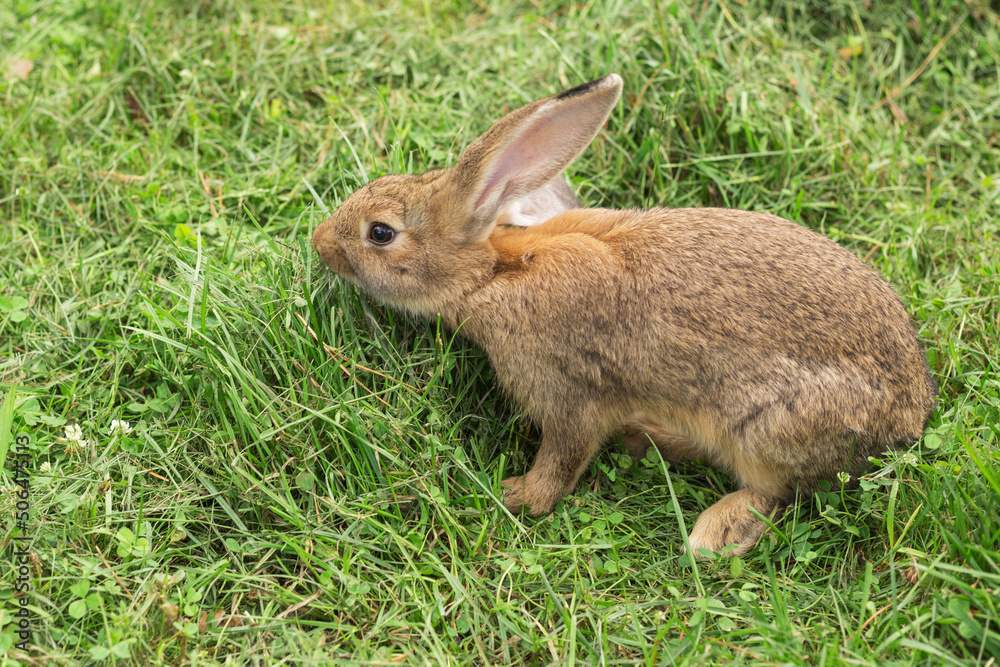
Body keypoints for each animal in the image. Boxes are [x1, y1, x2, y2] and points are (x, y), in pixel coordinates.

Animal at [311, 74, 936, 556]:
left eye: (380, 233)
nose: (320, 243)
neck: (494, 271)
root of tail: (910, 420)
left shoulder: (567, 394)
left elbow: (563, 460)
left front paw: (515, 495)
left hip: (769, 431)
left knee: (780, 493)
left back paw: (712, 534)